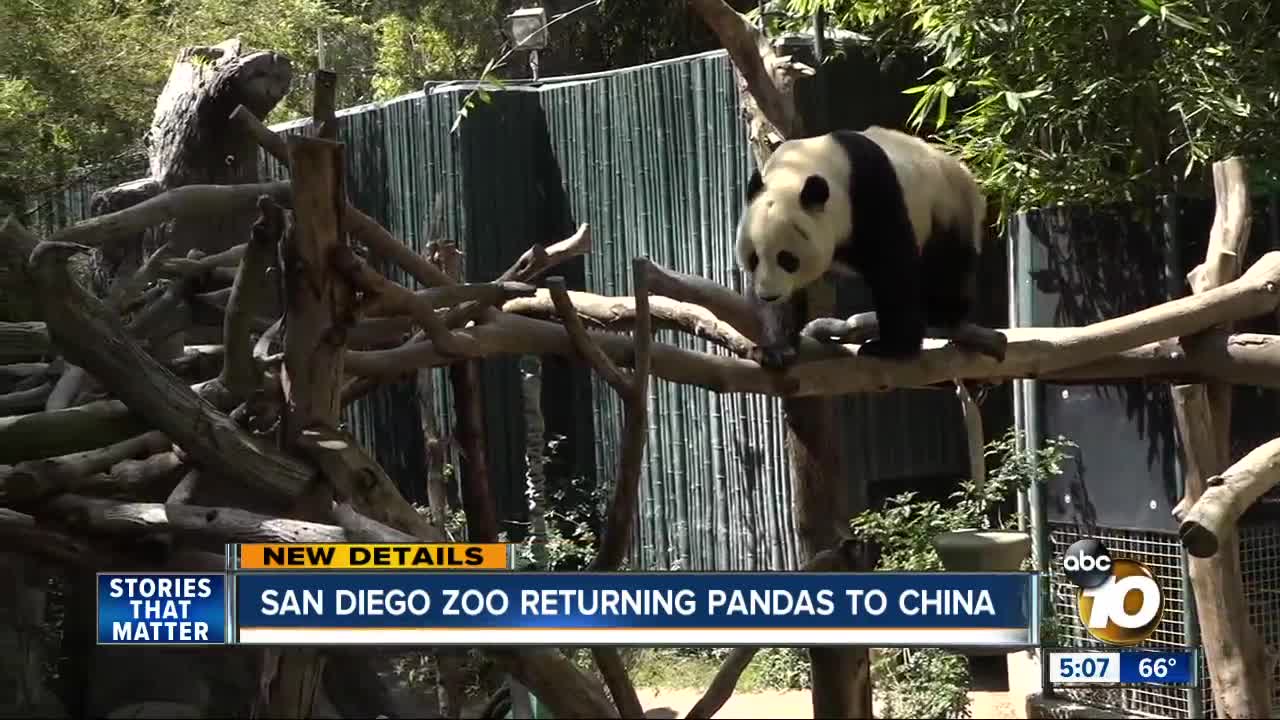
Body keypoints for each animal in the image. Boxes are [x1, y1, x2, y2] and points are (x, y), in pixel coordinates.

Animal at [732, 124, 988, 366]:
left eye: (787, 259)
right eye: (754, 258)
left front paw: (892, 347)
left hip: (946, 206)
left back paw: (942, 311)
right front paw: (775, 349)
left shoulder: (870, 191)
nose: (769, 295)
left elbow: (894, 270)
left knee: (947, 264)